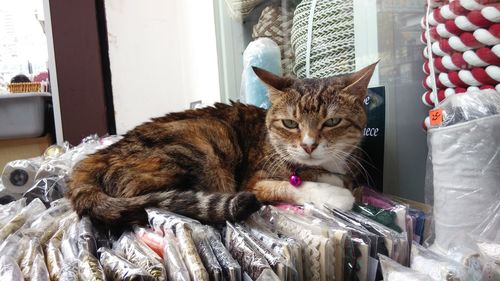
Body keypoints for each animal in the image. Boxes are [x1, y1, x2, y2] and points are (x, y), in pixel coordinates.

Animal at [68, 62, 376, 226]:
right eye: (290, 124)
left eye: (332, 122)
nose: (309, 145)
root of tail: (98, 155)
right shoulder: (255, 181)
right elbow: (291, 186)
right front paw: (335, 193)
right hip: (206, 140)